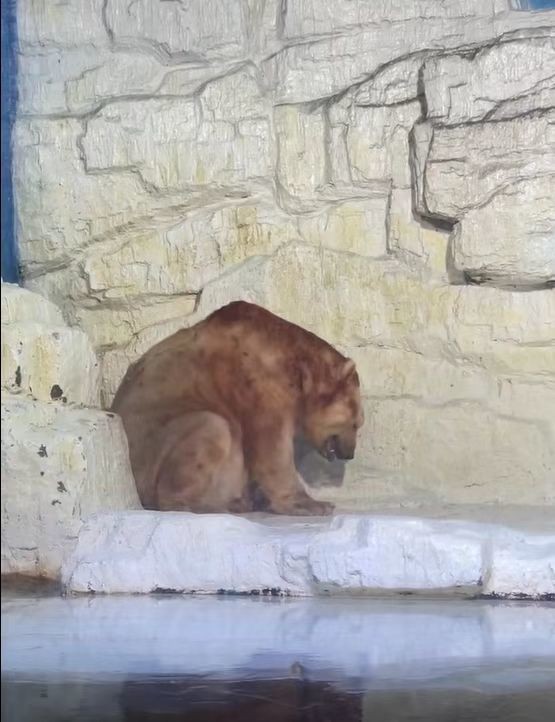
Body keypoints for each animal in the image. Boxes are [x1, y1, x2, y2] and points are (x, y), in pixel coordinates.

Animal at [111, 301, 364, 516]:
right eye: (356, 423)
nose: (349, 453)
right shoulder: (257, 385)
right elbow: (272, 448)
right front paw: (313, 504)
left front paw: (258, 497)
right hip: (152, 452)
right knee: (212, 428)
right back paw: (209, 506)